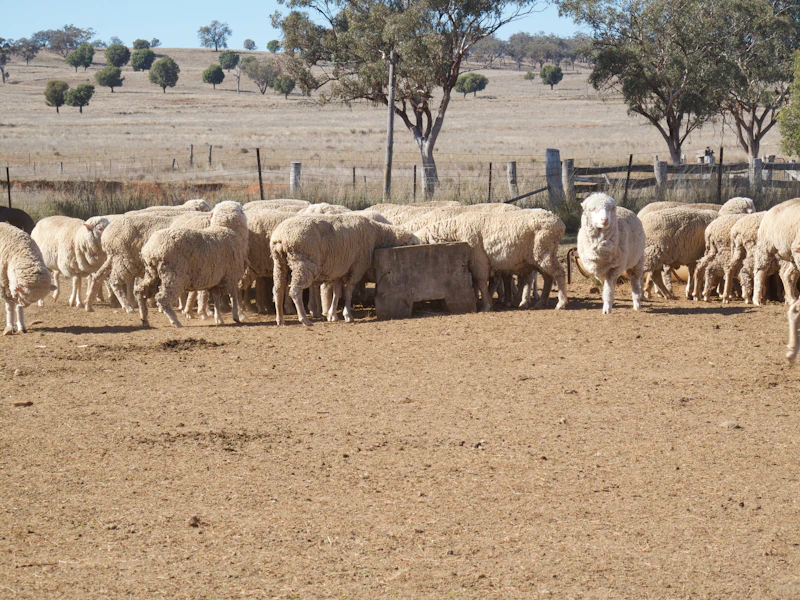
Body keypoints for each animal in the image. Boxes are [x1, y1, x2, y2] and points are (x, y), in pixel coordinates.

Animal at [270, 214, 418, 326]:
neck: (377, 233)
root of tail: (280, 236)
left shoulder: (340, 270)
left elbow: (337, 293)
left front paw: (332, 315)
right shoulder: (357, 266)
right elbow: (349, 291)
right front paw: (347, 315)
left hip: (279, 264)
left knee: (278, 289)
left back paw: (280, 319)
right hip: (303, 263)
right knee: (295, 291)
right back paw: (304, 319)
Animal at [414, 209, 567, 312]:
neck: (455, 230)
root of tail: (558, 222)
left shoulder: (478, 259)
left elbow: (481, 282)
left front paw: (486, 306)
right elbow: (480, 284)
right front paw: (487, 302)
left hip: (543, 252)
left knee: (559, 273)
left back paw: (561, 303)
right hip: (539, 256)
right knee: (548, 277)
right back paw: (540, 302)